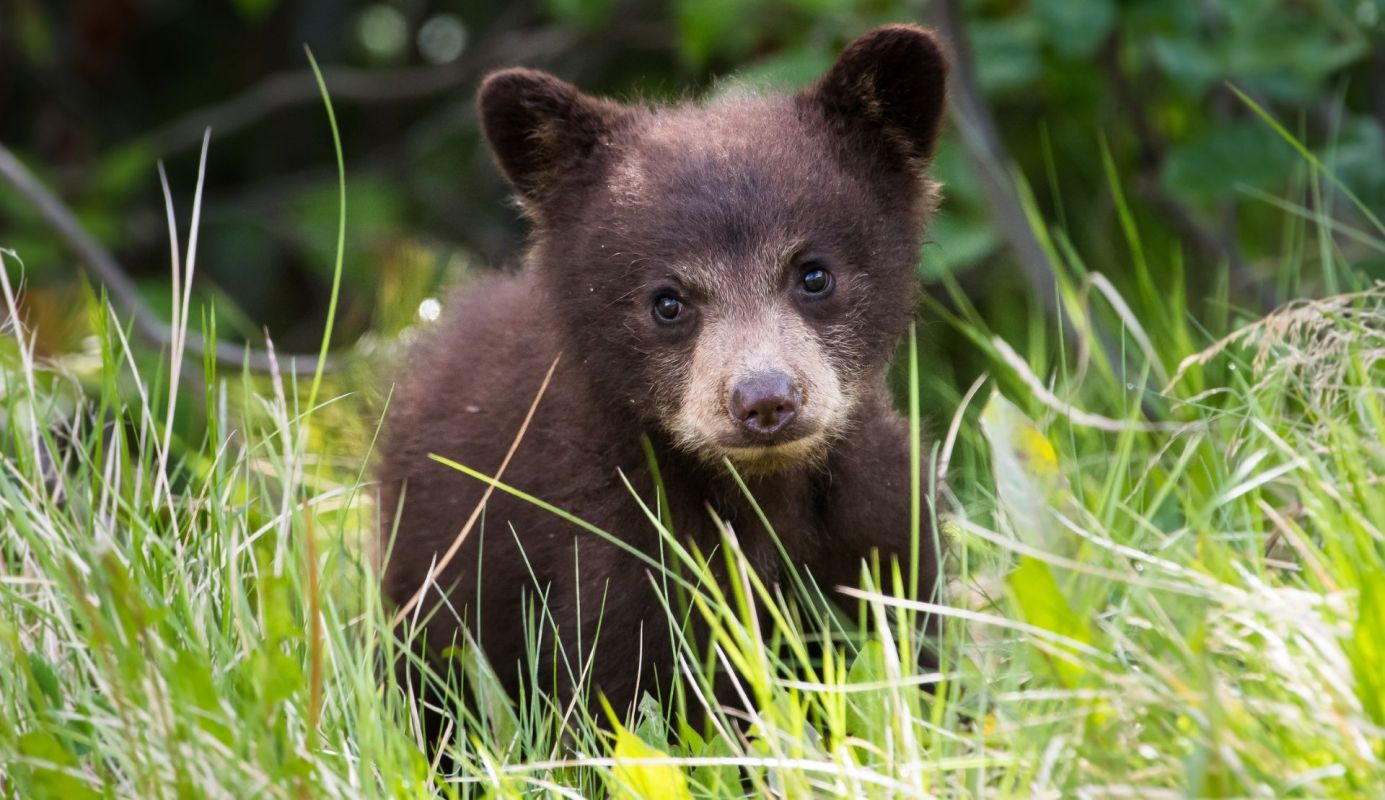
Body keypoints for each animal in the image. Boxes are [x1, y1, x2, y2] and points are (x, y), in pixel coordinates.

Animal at [377, 24, 950, 731]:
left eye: (814, 273)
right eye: (668, 301)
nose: (765, 400)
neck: (766, 492)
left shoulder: (883, 526)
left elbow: (908, 641)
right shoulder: (616, 542)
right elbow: (630, 694)